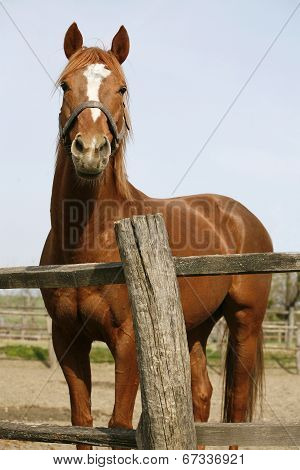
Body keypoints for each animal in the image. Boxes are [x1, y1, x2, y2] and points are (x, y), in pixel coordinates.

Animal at [41, 23, 274, 452]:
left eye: (122, 89)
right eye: (65, 85)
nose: (90, 150)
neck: (88, 242)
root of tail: (242, 216)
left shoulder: (128, 343)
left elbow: (117, 425)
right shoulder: (67, 340)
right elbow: (81, 425)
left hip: (245, 322)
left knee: (236, 407)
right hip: (196, 327)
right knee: (202, 396)